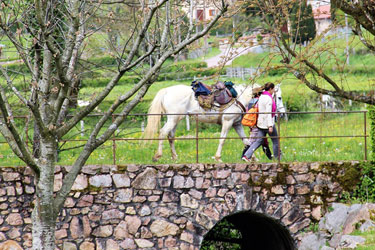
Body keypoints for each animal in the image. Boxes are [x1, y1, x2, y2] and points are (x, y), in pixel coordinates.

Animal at [144, 83, 284, 162]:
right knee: (163, 133)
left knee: (171, 136)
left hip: (176, 119)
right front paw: (218, 157)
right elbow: (222, 140)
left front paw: (252, 158)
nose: (282, 113)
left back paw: (175, 157)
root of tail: (166, 91)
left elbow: (246, 141)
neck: (238, 98)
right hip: (173, 118)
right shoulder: (228, 122)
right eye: (279, 97)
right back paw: (158, 156)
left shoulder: (236, 124)